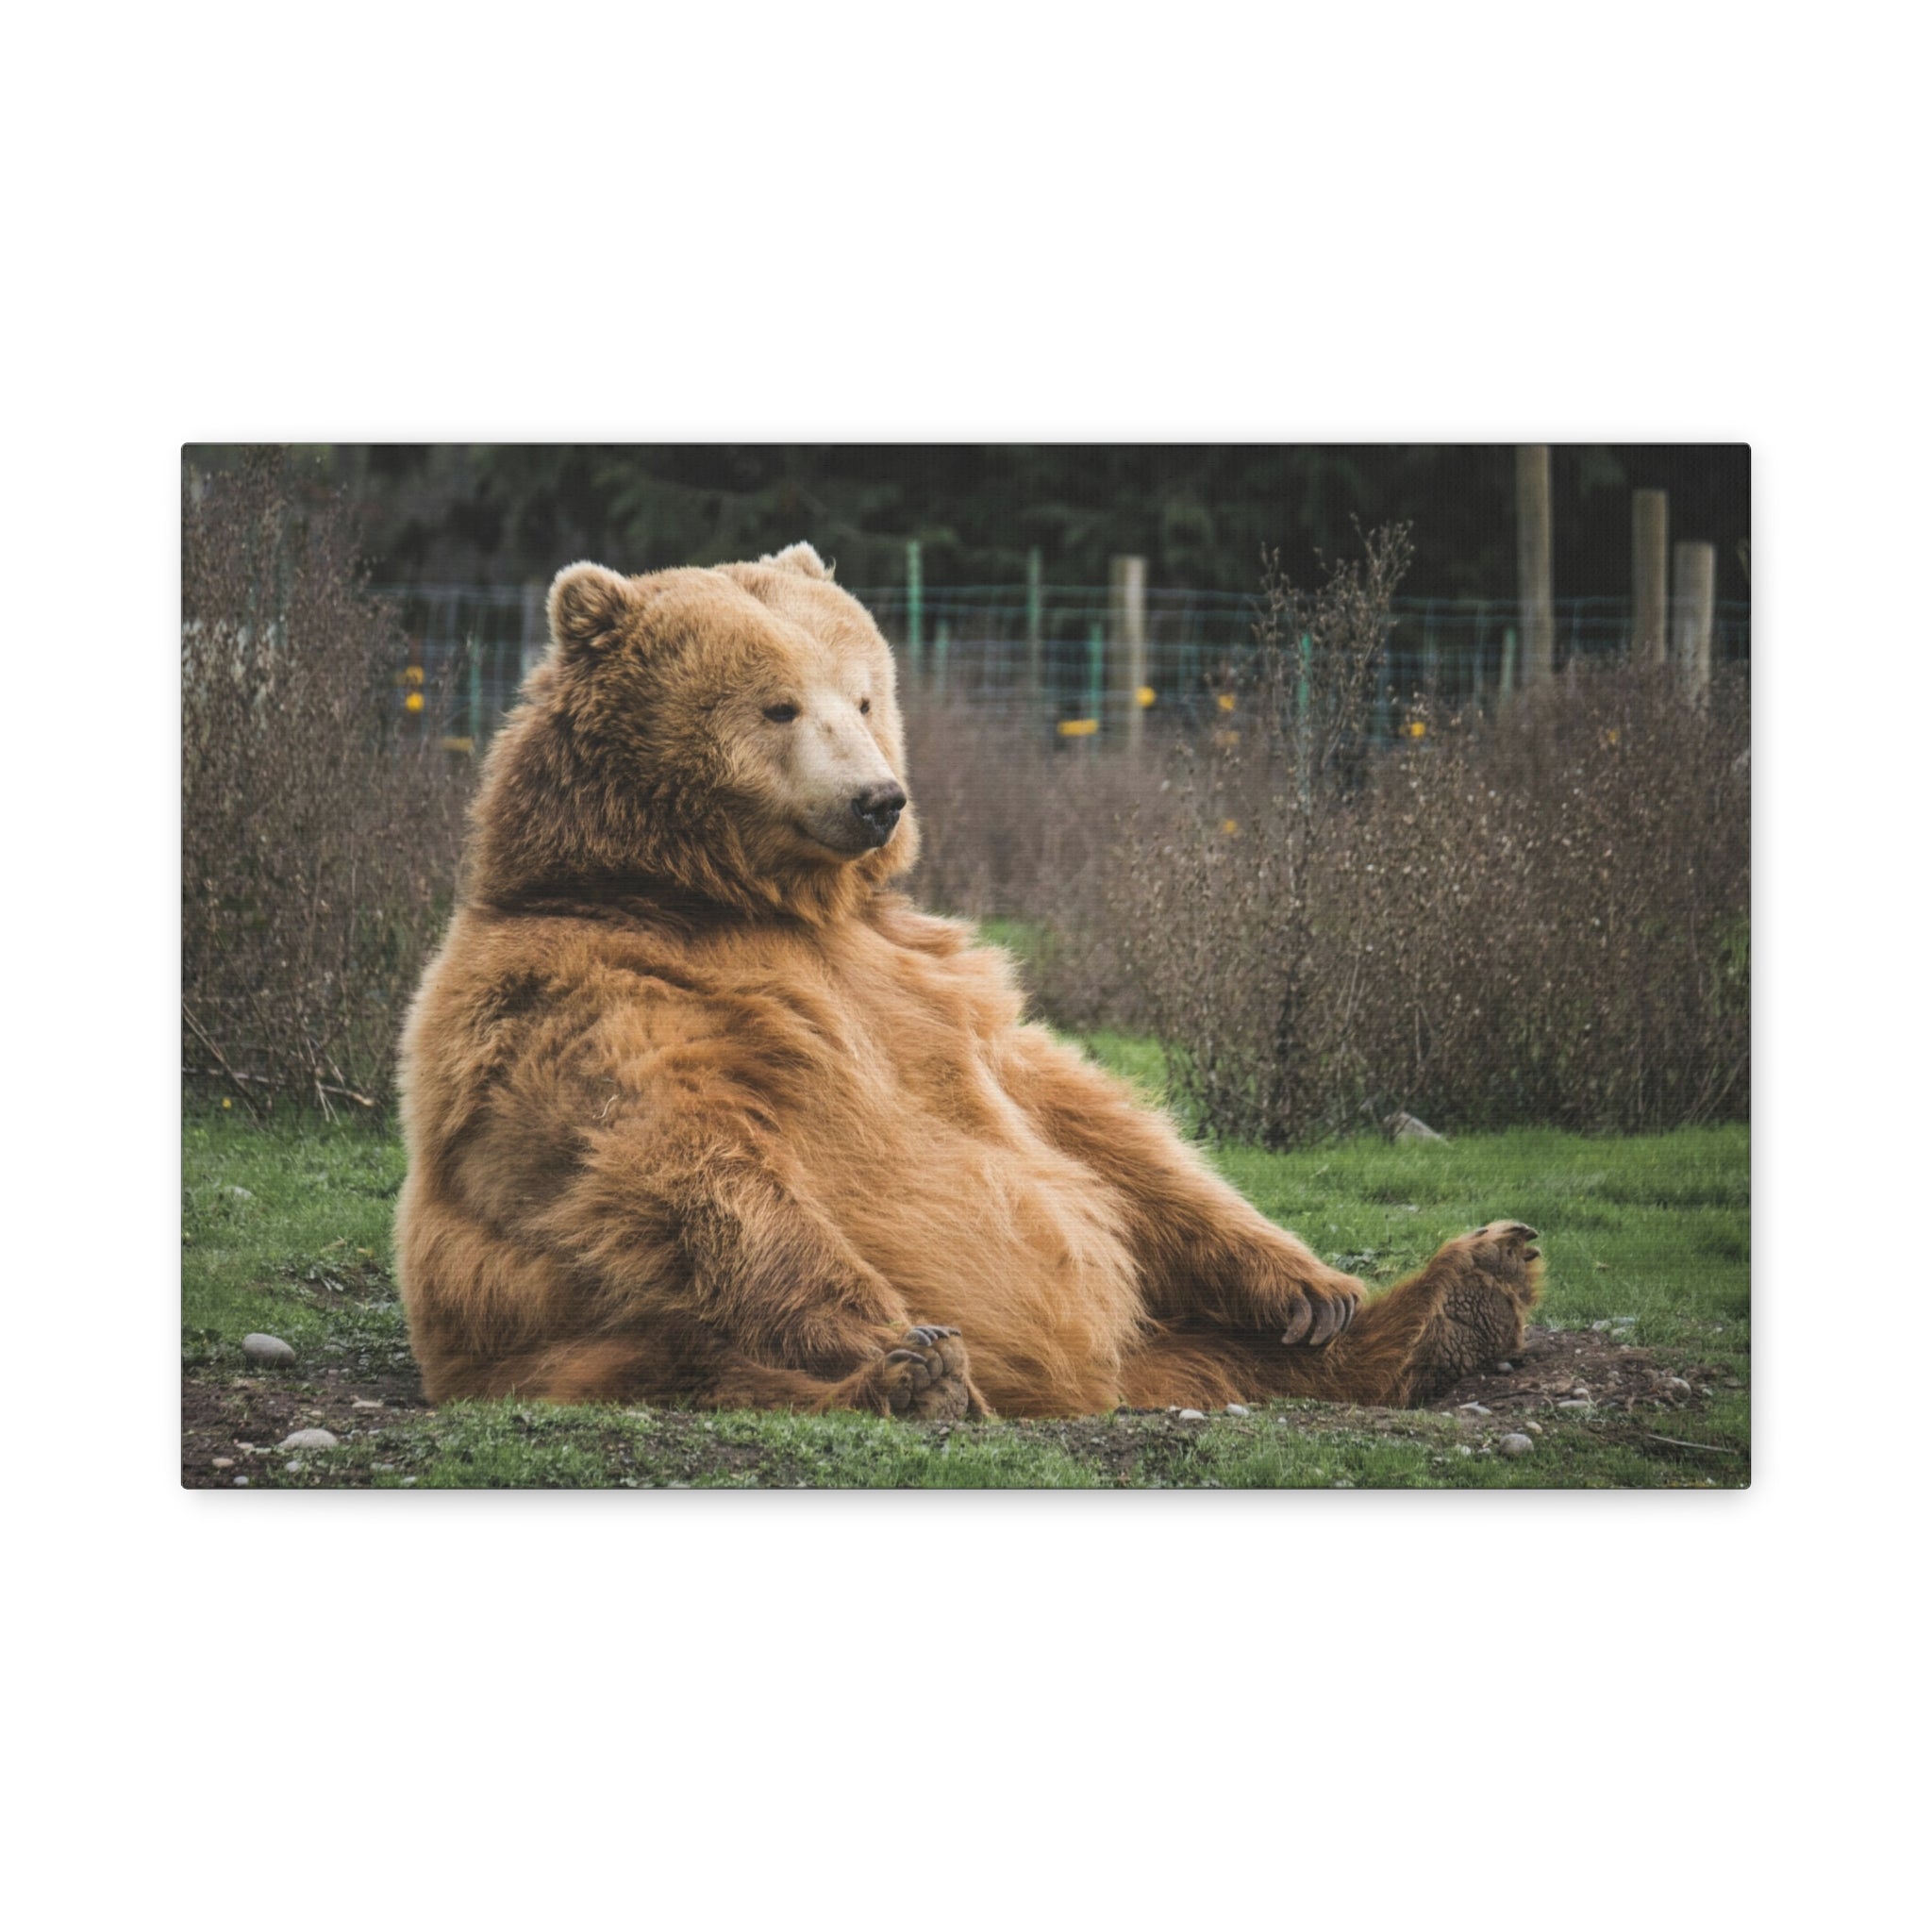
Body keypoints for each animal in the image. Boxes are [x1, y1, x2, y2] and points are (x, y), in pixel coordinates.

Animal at [394, 543, 1542, 1420]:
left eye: (863, 694)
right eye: (777, 706)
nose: (877, 798)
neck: (734, 898)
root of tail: (1089, 1389)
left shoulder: (927, 979)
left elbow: (1086, 1119)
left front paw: (1309, 1285)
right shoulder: (586, 992)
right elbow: (676, 1157)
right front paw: (894, 1334)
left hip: (1161, 1336)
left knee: (1229, 1350)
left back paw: (1461, 1294)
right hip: (568, 1339)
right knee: (704, 1361)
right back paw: (916, 1380)